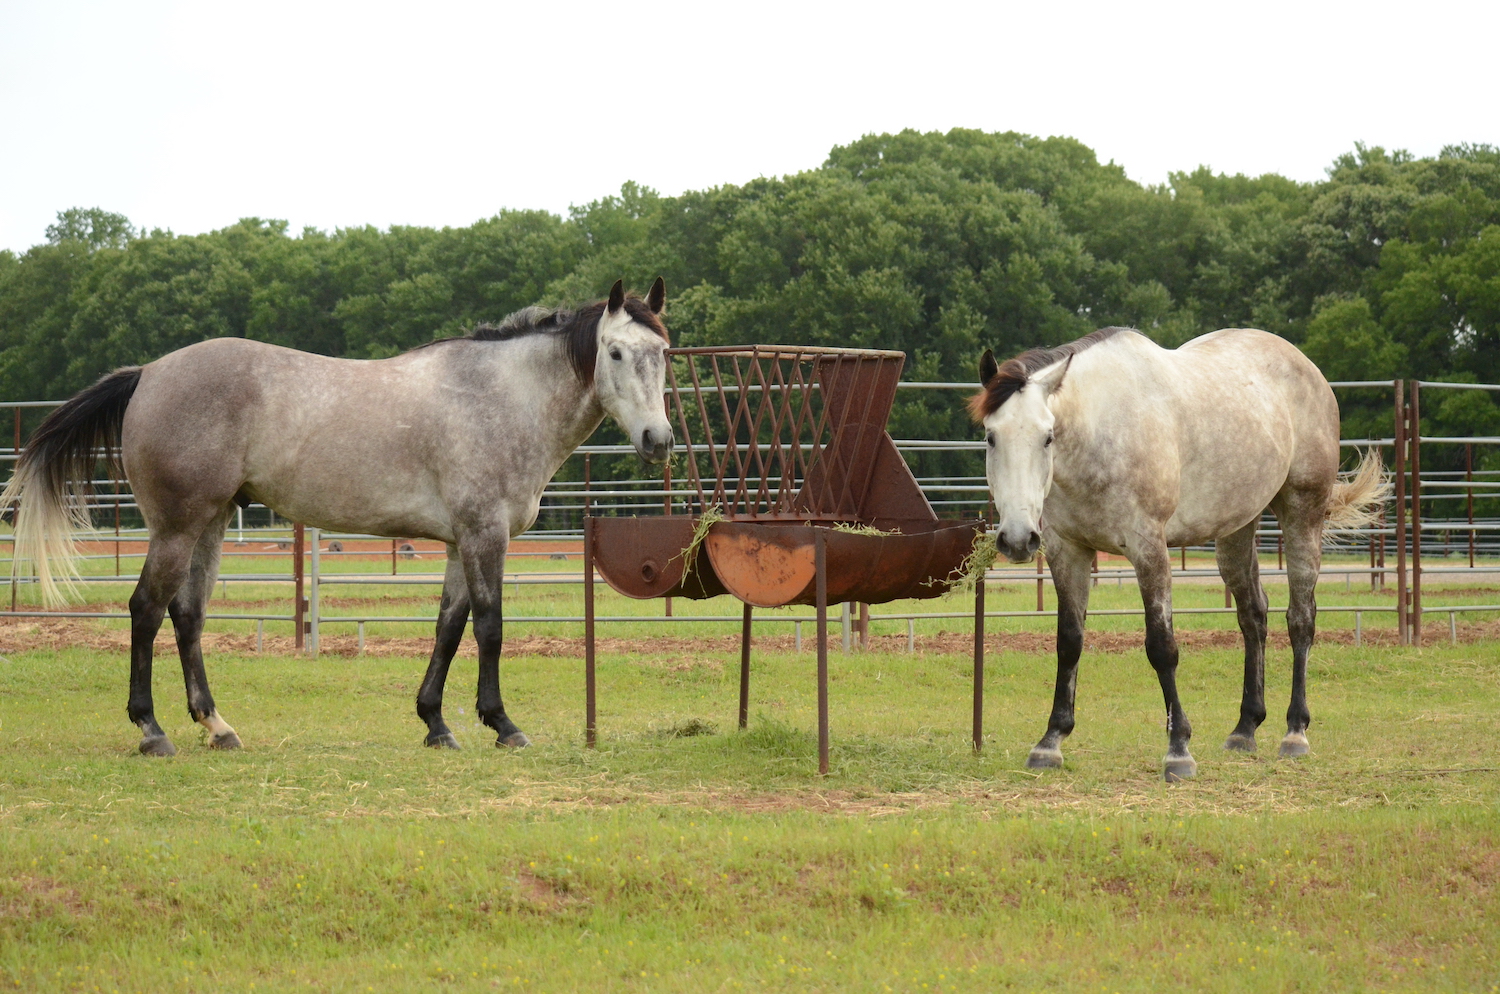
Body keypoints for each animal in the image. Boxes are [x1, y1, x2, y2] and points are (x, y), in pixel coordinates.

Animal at [3, 278, 673, 756]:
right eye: (615, 352)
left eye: (664, 354)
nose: (658, 440)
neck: (500, 397)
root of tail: (148, 373)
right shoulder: (485, 536)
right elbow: (490, 628)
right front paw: (502, 724)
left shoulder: (459, 542)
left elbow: (448, 628)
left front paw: (435, 723)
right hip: (176, 526)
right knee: (145, 609)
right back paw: (152, 731)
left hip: (209, 524)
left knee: (187, 615)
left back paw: (218, 727)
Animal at [971, 326, 1384, 780]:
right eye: (991, 437)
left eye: (1047, 436)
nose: (1016, 539)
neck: (1102, 432)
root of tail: (1309, 369)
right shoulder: (1068, 550)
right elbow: (1069, 642)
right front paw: (1050, 742)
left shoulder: (1148, 548)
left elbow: (1162, 647)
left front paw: (1178, 750)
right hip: (1237, 528)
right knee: (1253, 616)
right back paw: (1245, 728)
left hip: (1301, 513)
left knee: (1301, 619)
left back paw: (1295, 732)